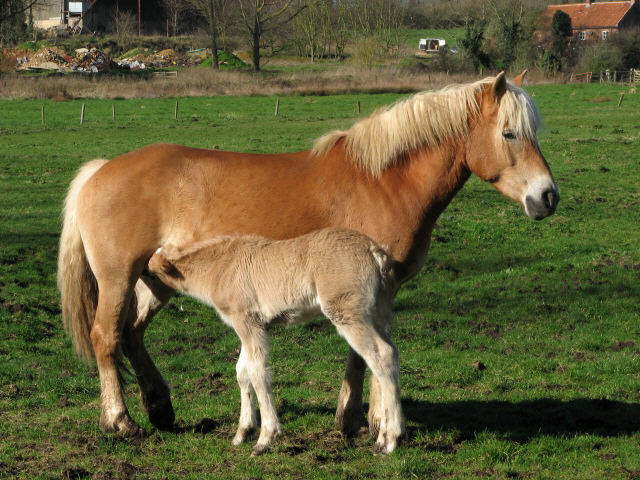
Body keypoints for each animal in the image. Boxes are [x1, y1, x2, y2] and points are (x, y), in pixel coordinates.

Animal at [57, 73, 556, 448]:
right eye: (509, 133)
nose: (547, 197)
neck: (384, 181)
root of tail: (100, 170)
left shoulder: (380, 292)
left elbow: (372, 352)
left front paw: (368, 420)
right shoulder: (364, 292)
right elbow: (365, 355)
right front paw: (365, 421)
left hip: (156, 278)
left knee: (132, 332)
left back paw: (160, 408)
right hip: (120, 277)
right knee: (106, 336)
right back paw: (120, 420)